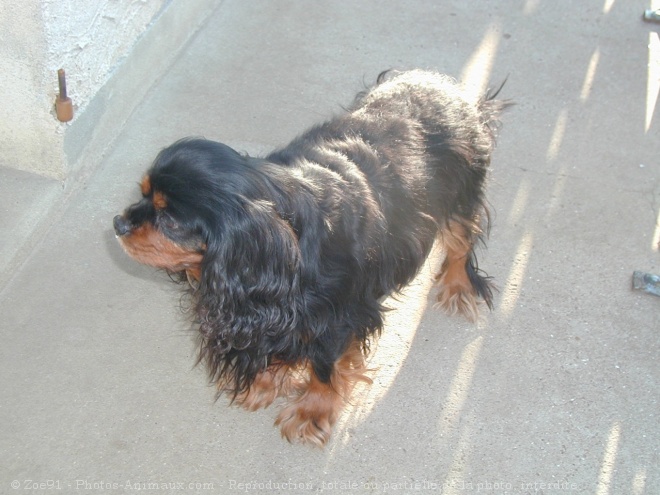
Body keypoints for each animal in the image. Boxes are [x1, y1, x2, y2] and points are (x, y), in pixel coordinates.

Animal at [113, 70, 508, 450]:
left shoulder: (338, 316)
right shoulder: (268, 309)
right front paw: (266, 383)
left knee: (462, 239)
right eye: (142, 194)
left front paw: (312, 413)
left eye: (170, 220)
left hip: (460, 191)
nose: (118, 223)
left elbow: (324, 367)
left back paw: (457, 286)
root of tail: (445, 85)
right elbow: (273, 347)